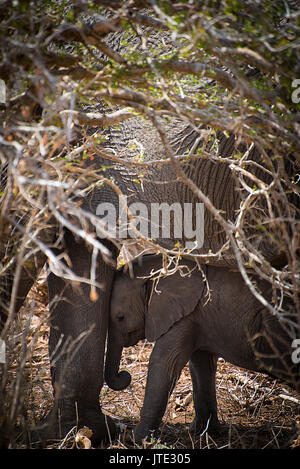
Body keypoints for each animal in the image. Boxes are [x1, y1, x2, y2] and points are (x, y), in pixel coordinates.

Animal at [105, 254, 298, 440]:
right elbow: (200, 366)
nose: (124, 375)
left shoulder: (184, 317)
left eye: (120, 317)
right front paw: (202, 432)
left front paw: (135, 438)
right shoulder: (197, 317)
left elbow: (164, 363)